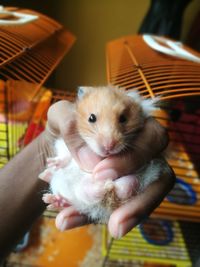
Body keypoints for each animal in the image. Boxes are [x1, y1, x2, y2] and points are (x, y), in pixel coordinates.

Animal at [39, 86, 166, 224]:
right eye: (91, 118)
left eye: (123, 118)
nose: (109, 146)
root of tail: (108, 199)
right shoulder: (63, 144)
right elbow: (66, 156)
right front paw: (51, 163)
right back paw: (50, 194)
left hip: (132, 182)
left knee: (124, 187)